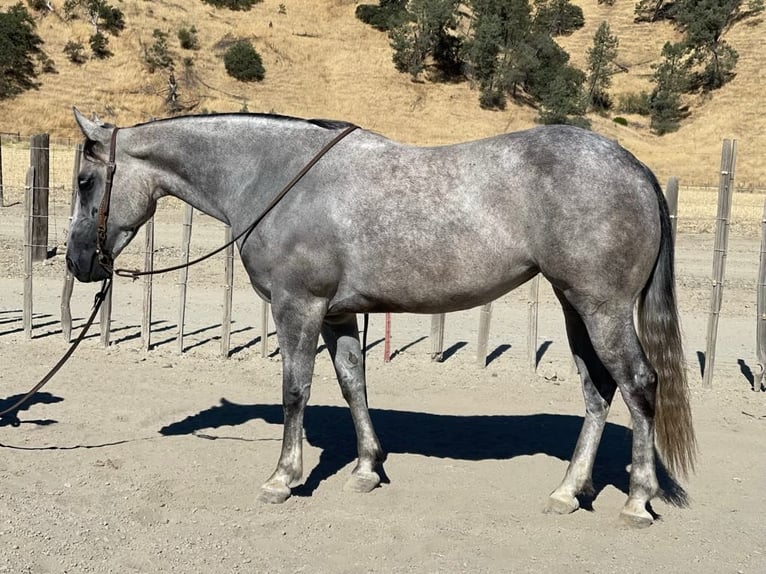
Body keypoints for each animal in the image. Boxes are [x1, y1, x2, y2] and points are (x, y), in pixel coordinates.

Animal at [69, 108, 700, 528]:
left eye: (83, 181)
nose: (77, 261)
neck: (277, 176)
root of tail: (634, 167)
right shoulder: (338, 315)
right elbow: (354, 384)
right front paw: (367, 469)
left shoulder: (298, 307)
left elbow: (295, 391)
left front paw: (283, 478)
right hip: (576, 306)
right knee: (597, 390)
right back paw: (568, 491)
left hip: (602, 309)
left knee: (639, 385)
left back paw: (637, 500)